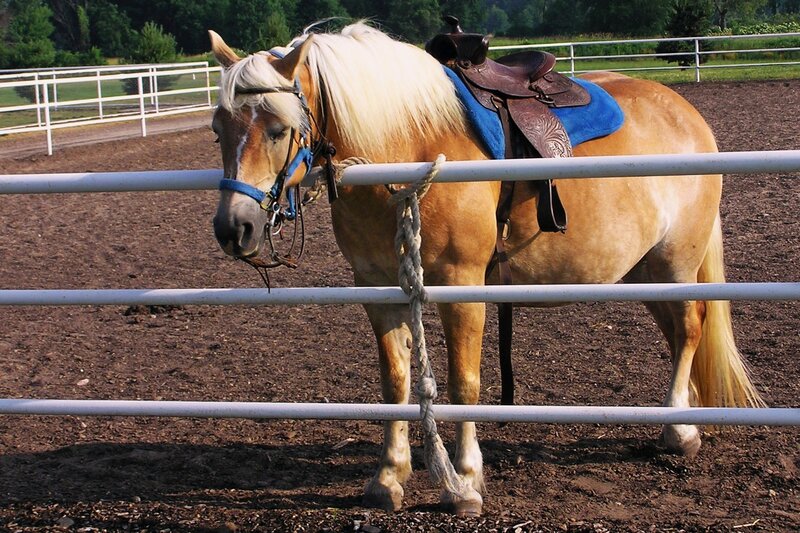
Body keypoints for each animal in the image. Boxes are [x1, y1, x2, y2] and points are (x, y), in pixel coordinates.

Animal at [207, 23, 762, 515]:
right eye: (217, 131)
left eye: (278, 129)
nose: (235, 228)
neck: (407, 148)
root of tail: (687, 114)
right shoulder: (378, 288)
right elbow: (395, 382)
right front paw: (388, 476)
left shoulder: (461, 283)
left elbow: (464, 383)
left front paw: (465, 480)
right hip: (643, 272)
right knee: (677, 333)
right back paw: (686, 414)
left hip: (675, 262)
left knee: (690, 328)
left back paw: (679, 431)